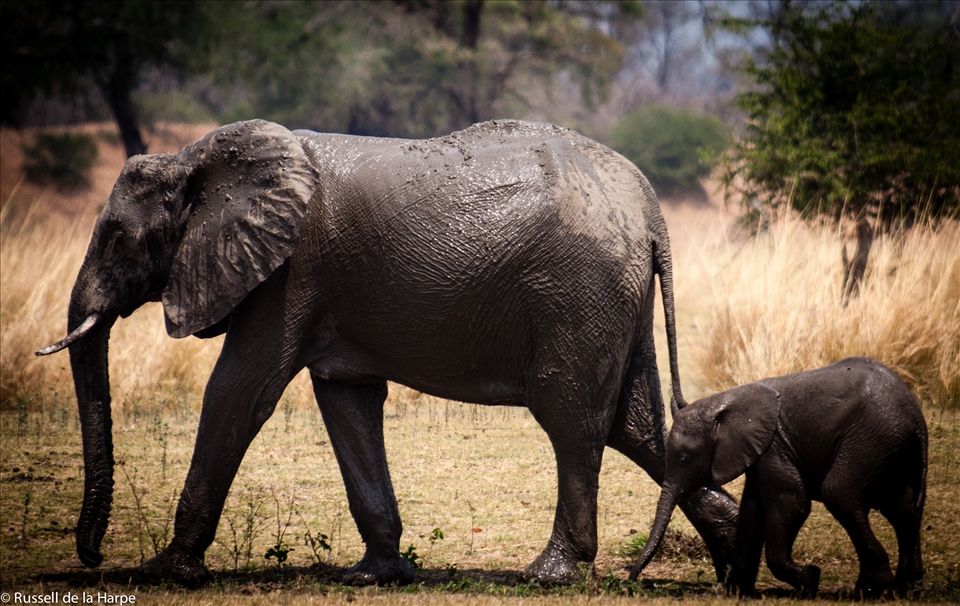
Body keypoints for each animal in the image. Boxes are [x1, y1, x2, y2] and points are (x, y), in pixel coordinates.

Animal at [37, 118, 740, 586]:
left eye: (118, 236)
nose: (93, 556)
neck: (199, 160)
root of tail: (649, 209)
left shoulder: (289, 273)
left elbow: (239, 391)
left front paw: (163, 571)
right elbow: (346, 400)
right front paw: (373, 575)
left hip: (578, 290)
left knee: (573, 420)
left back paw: (548, 574)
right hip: (613, 296)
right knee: (636, 428)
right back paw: (741, 565)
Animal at [630, 357, 927, 597]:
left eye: (684, 458)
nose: (631, 580)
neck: (724, 402)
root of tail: (916, 417)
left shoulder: (773, 446)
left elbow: (791, 504)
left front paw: (810, 580)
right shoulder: (758, 452)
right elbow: (752, 511)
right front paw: (733, 593)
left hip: (871, 441)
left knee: (840, 494)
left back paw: (872, 589)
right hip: (889, 449)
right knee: (903, 508)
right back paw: (904, 587)